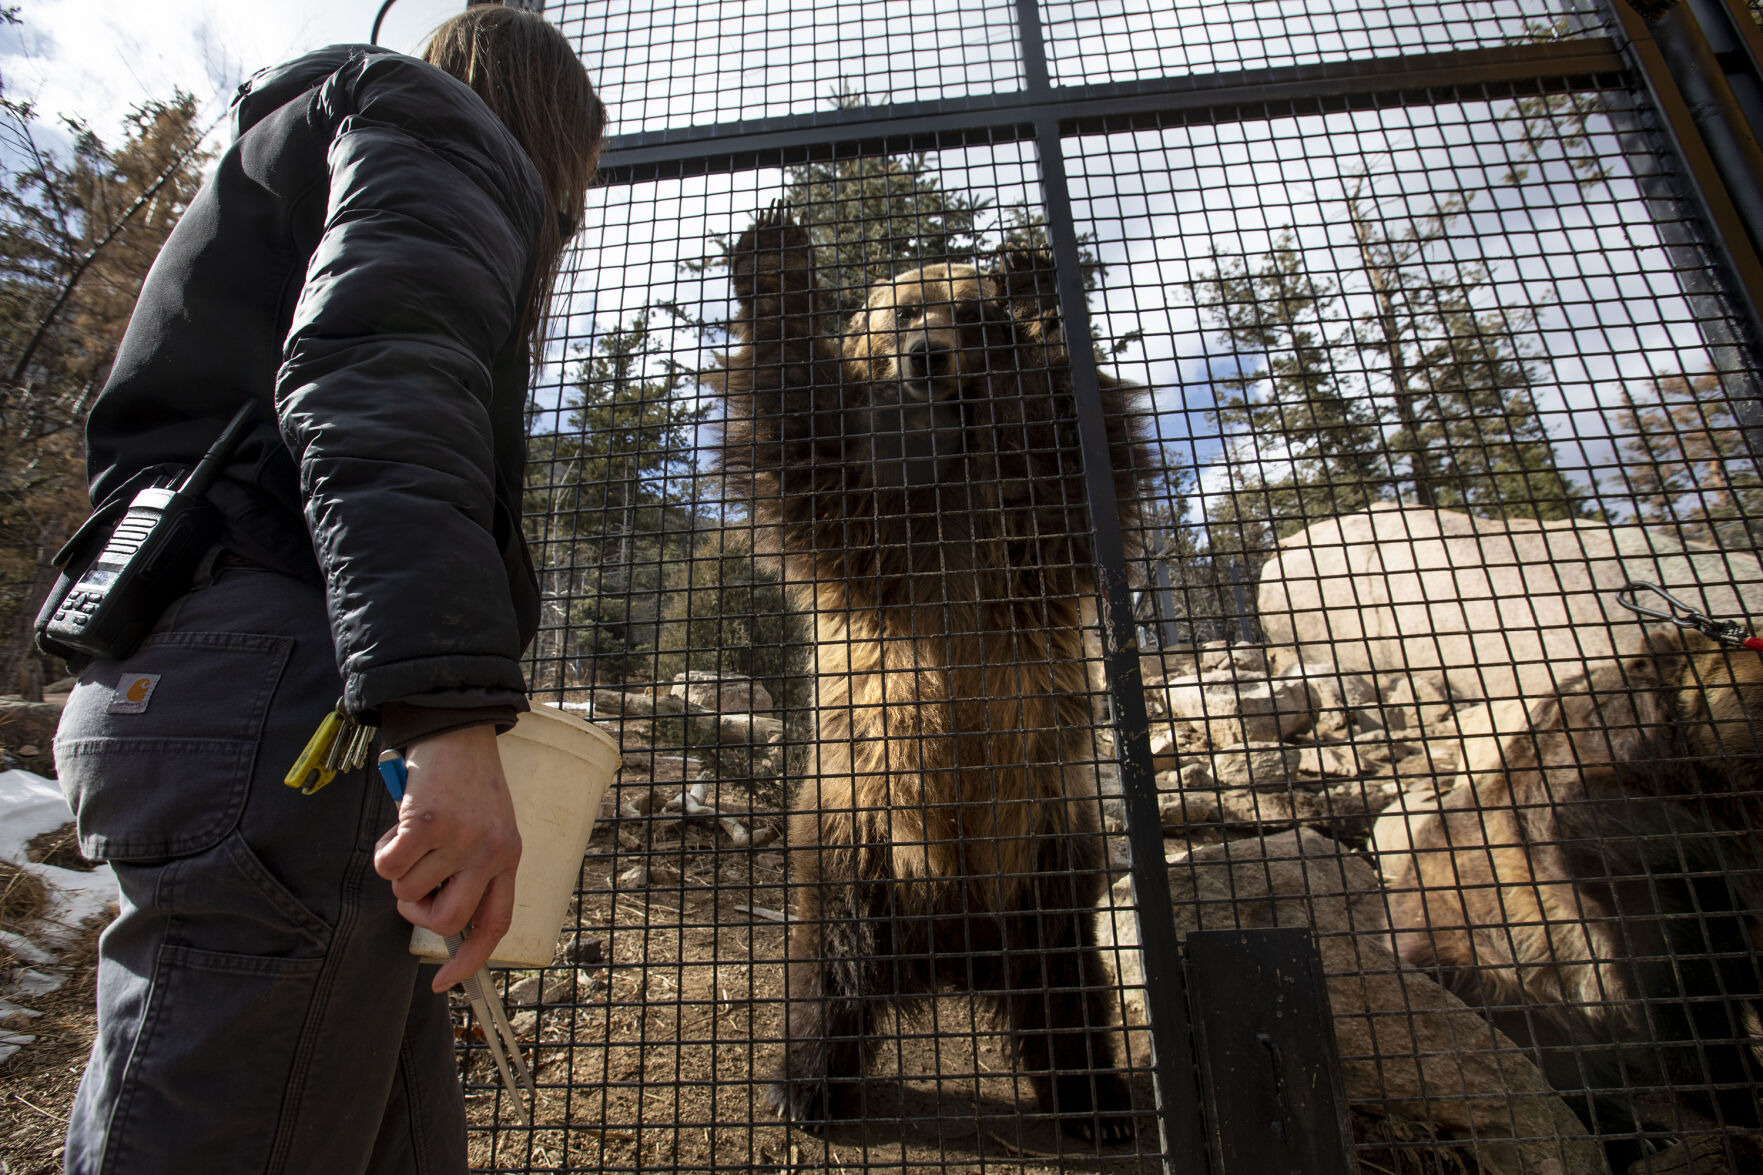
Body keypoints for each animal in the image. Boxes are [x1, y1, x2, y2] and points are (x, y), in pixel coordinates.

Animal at [708, 204, 1151, 1143]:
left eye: (967, 314)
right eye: (904, 310)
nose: (925, 355)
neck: (945, 465)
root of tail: (954, 950)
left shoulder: (1016, 540)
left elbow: (1066, 448)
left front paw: (1033, 283)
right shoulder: (879, 536)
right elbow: (806, 435)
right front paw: (775, 254)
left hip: (1043, 847)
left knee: (1068, 983)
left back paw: (1094, 1097)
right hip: (856, 831)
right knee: (828, 973)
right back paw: (803, 1084)